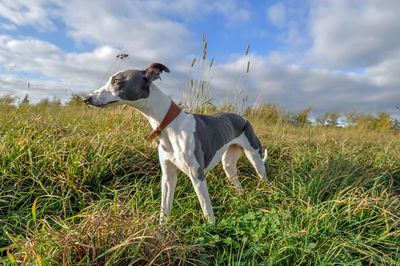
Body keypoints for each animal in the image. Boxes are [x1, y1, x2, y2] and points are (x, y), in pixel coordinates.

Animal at [83, 62, 268, 224]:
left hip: (255, 158)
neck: (169, 124)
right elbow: (164, 209)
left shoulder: (197, 176)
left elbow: (206, 209)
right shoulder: (168, 176)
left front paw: (212, 230)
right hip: (228, 165)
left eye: (116, 81)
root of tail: (243, 118)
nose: (86, 98)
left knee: (262, 175)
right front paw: (161, 230)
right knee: (237, 183)